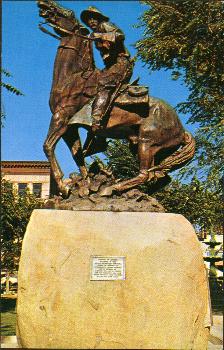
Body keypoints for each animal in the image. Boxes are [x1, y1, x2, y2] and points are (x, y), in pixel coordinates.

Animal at [36, 0, 194, 197]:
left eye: (68, 13)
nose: (44, 4)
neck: (73, 78)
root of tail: (181, 128)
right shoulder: (70, 127)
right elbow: (77, 154)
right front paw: (85, 184)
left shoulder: (61, 118)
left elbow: (48, 146)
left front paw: (64, 186)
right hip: (147, 147)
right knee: (159, 178)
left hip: (147, 141)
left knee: (145, 174)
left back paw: (114, 188)